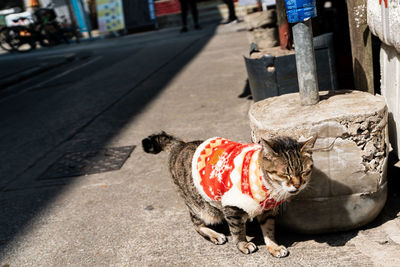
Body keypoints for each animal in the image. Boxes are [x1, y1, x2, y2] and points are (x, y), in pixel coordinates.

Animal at [142, 133, 318, 258]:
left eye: (304, 172)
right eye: (285, 174)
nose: (298, 184)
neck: (268, 187)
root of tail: (180, 144)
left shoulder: (267, 211)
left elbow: (269, 230)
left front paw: (273, 247)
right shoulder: (232, 207)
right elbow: (238, 230)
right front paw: (243, 245)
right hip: (203, 209)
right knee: (196, 224)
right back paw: (214, 235)